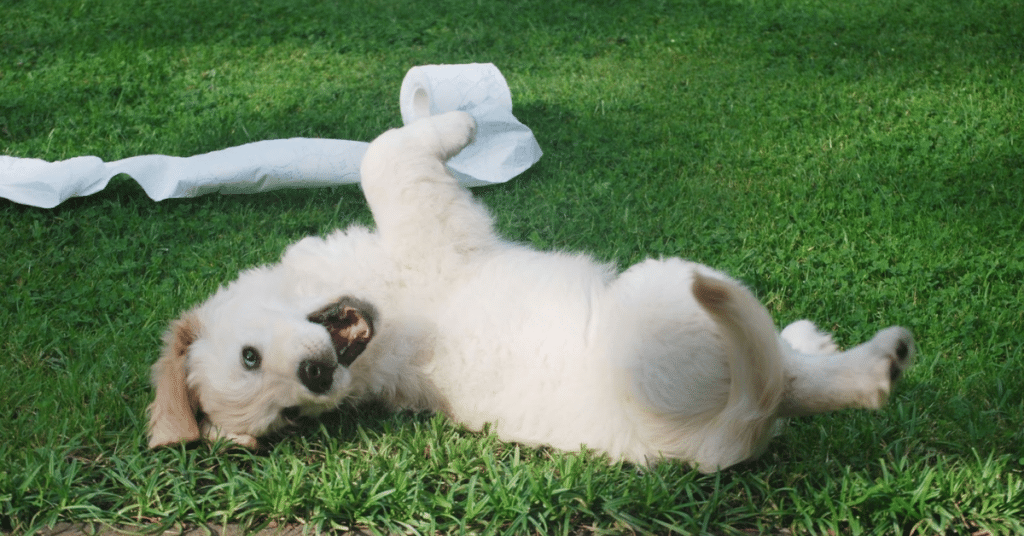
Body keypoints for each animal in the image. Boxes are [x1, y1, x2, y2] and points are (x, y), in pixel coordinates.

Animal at [148, 111, 917, 471]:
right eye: (289, 415)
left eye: (250, 358)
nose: (315, 381)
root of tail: (716, 441)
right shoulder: (428, 220)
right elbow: (384, 154)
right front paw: (460, 124)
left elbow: (384, 150)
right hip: (669, 296)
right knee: (790, 380)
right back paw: (875, 364)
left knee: (789, 372)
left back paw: (817, 340)